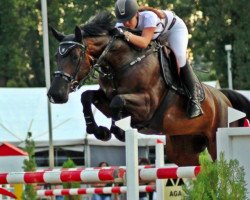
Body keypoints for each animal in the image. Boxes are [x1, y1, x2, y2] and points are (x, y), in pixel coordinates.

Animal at [47, 11, 250, 166]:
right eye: (57, 56)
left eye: (74, 56)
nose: (55, 94)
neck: (122, 63)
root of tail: (223, 98)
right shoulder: (106, 96)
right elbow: (87, 97)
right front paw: (100, 131)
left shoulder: (147, 105)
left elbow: (117, 102)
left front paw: (118, 131)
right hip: (182, 148)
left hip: (217, 140)